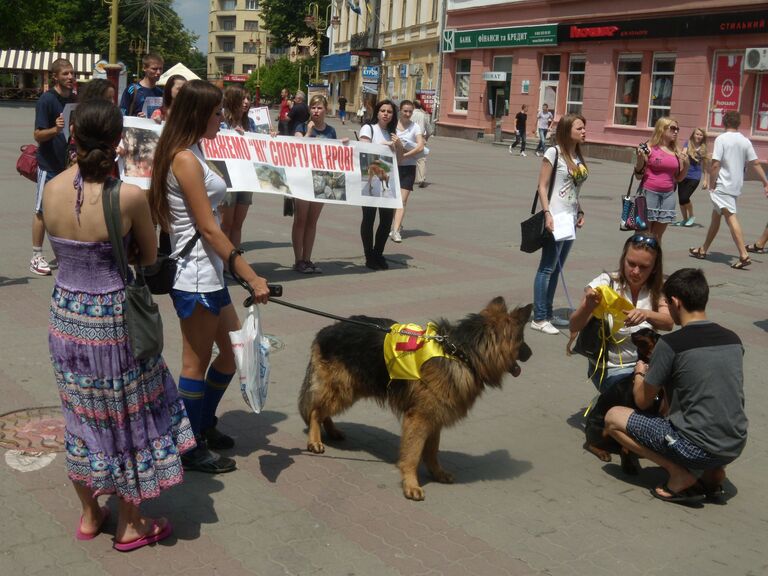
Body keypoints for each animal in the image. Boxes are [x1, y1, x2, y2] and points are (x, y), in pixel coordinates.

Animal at [296, 296, 532, 500]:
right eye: (521, 340)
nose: (530, 354)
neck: (461, 353)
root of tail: (327, 330)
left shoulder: (434, 418)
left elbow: (432, 452)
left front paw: (437, 473)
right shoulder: (418, 419)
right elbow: (412, 454)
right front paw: (411, 485)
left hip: (348, 390)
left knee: (322, 410)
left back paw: (332, 431)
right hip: (344, 390)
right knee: (315, 411)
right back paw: (315, 440)